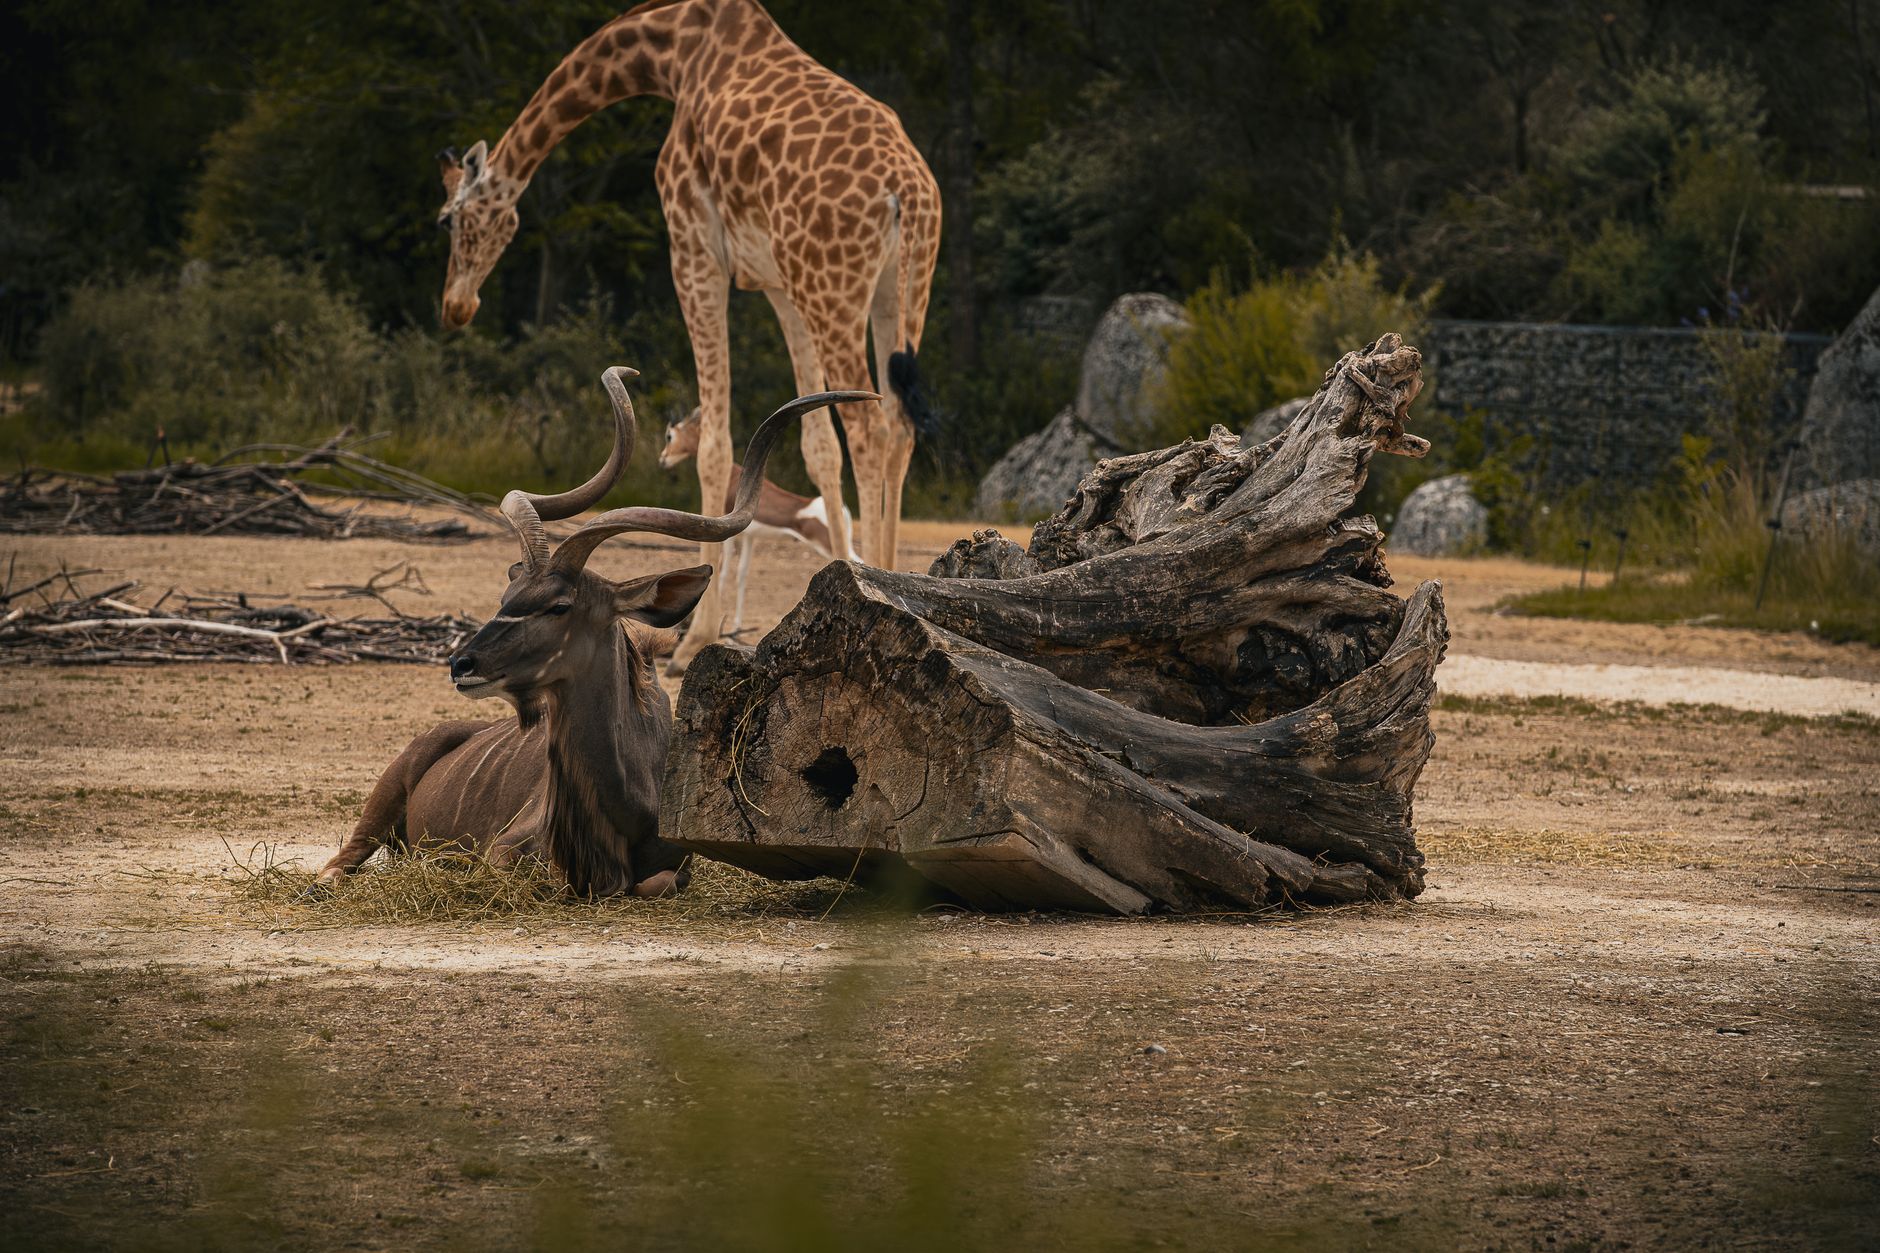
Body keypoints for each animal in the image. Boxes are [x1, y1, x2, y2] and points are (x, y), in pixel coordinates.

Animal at [435, 0, 940, 670]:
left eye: (451, 219)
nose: (456, 305)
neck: (671, 51)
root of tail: (906, 192)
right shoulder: (775, 282)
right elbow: (815, 443)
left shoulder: (693, 245)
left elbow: (718, 445)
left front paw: (693, 638)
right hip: (898, 292)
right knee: (899, 427)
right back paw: (903, 586)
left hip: (833, 285)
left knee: (871, 427)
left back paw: (886, 586)